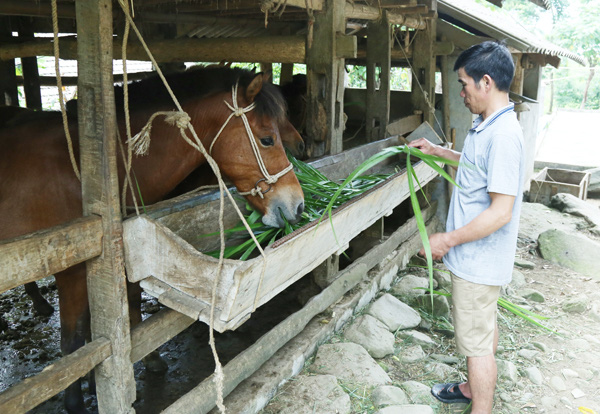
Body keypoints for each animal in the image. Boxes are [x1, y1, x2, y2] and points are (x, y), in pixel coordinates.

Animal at [0, 66, 302, 412]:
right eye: (267, 139)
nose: (298, 205)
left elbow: (118, 315)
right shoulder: (72, 271)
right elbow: (74, 343)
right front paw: (76, 400)